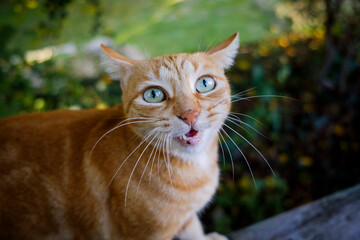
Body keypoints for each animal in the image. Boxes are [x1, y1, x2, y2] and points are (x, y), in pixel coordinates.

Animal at [1, 32, 240, 240]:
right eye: (153, 95)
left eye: (205, 83)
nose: (189, 114)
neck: (194, 169)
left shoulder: (185, 217)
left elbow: (192, 228)